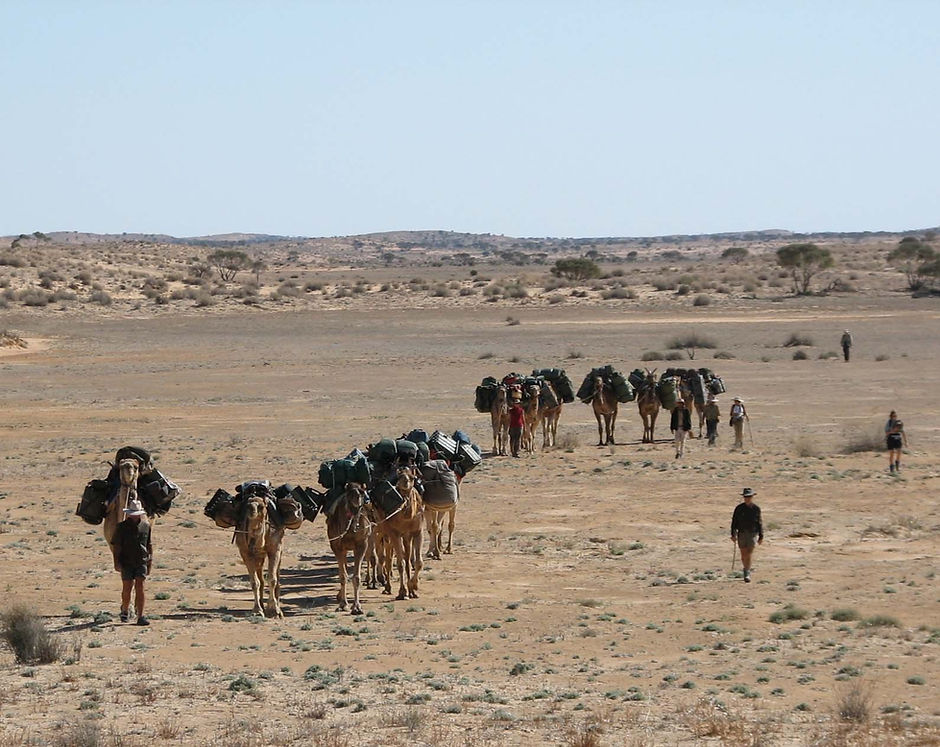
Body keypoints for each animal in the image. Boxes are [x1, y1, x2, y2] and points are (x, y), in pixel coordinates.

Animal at [326, 482, 372, 615]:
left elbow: (356, 577)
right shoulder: (336, 546)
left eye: (362, 492)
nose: (358, 500)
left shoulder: (362, 544)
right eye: (349, 494)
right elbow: (343, 576)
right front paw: (343, 604)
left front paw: (357, 607)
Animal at [372, 466, 424, 600]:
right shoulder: (395, 533)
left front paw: (413, 587)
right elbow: (400, 564)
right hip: (379, 531)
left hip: (399, 536)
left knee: (395, 557)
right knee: (384, 557)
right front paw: (402, 592)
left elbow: (418, 562)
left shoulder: (417, 532)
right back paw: (383, 584)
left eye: (412, 477)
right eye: (399, 476)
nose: (405, 482)